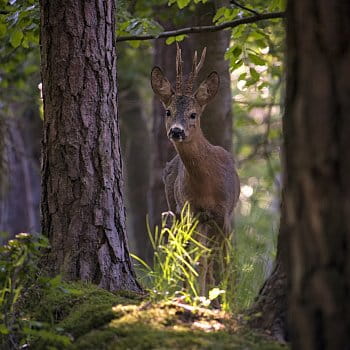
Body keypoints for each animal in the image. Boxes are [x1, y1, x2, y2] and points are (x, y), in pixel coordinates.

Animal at [151, 43, 241, 296]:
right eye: (168, 111)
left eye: (193, 114)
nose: (176, 131)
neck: (206, 186)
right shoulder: (191, 211)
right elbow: (197, 262)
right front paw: (201, 296)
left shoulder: (224, 213)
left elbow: (225, 263)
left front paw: (227, 298)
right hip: (179, 212)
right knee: (189, 256)